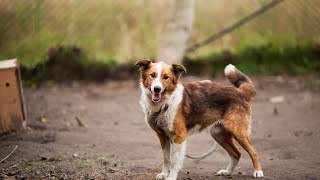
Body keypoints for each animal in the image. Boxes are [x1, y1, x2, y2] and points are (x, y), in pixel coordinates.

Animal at [136, 59, 264, 180]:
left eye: (166, 77)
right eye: (152, 75)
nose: (157, 89)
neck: (165, 103)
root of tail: (240, 92)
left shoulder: (179, 137)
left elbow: (174, 161)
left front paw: (171, 177)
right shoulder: (162, 136)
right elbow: (166, 158)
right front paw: (164, 174)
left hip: (238, 132)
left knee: (253, 152)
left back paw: (258, 172)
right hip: (218, 134)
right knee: (236, 153)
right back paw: (227, 172)